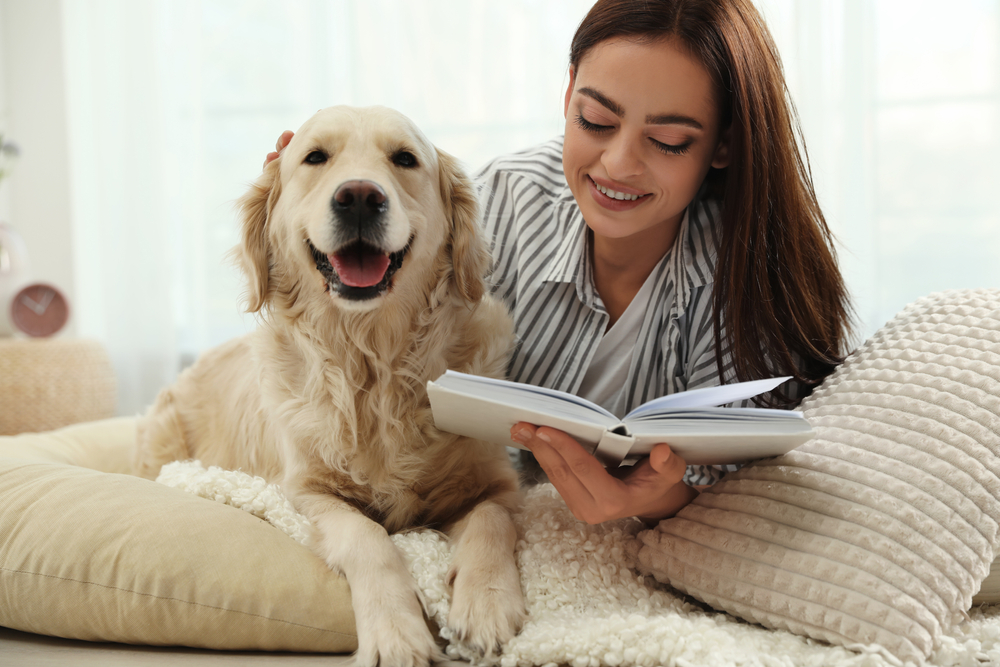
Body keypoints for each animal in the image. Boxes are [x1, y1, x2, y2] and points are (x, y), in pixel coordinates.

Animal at [137, 107, 528, 664]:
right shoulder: (304, 490)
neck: (373, 364)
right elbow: (367, 537)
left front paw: (487, 604)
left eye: (405, 159)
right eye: (315, 157)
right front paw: (395, 633)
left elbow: (492, 520)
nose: (359, 196)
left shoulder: (498, 483)